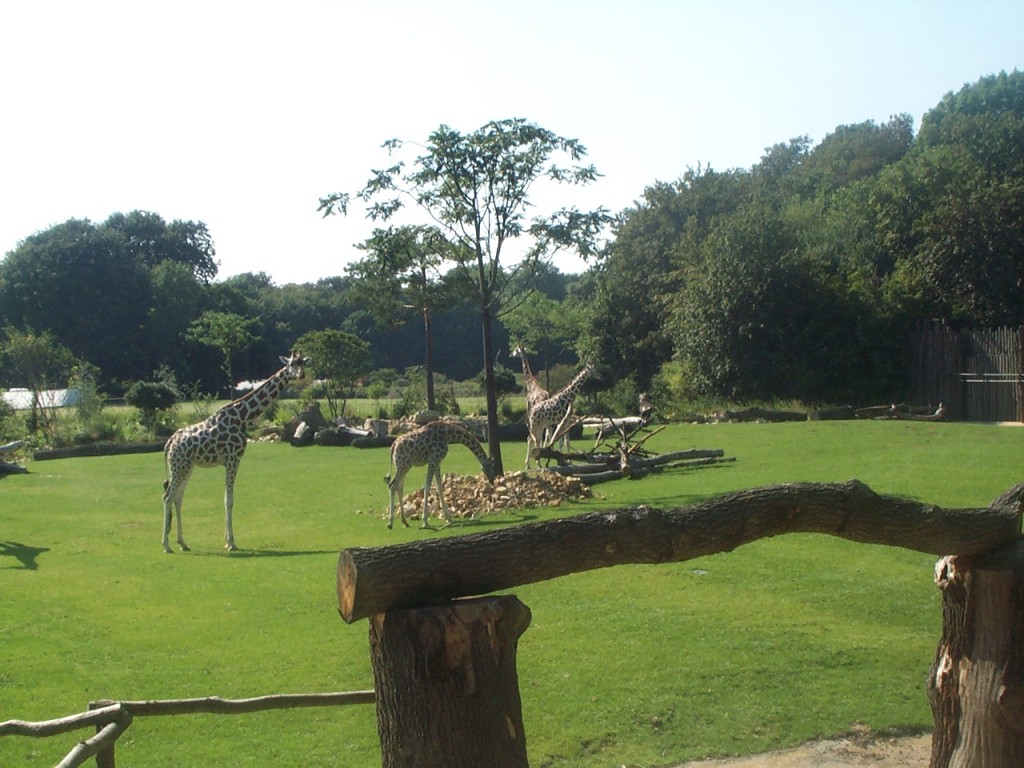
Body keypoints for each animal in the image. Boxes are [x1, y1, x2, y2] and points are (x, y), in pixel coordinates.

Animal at [160, 354, 307, 552]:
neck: (244, 417)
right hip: (179, 467)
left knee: (177, 498)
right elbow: (228, 500)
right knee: (167, 497)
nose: (301, 375)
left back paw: (183, 542)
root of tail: (169, 443)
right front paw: (231, 543)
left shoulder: (230, 461)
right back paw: (166, 545)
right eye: (291, 364)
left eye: (303, 363)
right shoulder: (233, 459)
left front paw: (226, 540)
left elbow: (226, 498)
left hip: (186, 467)